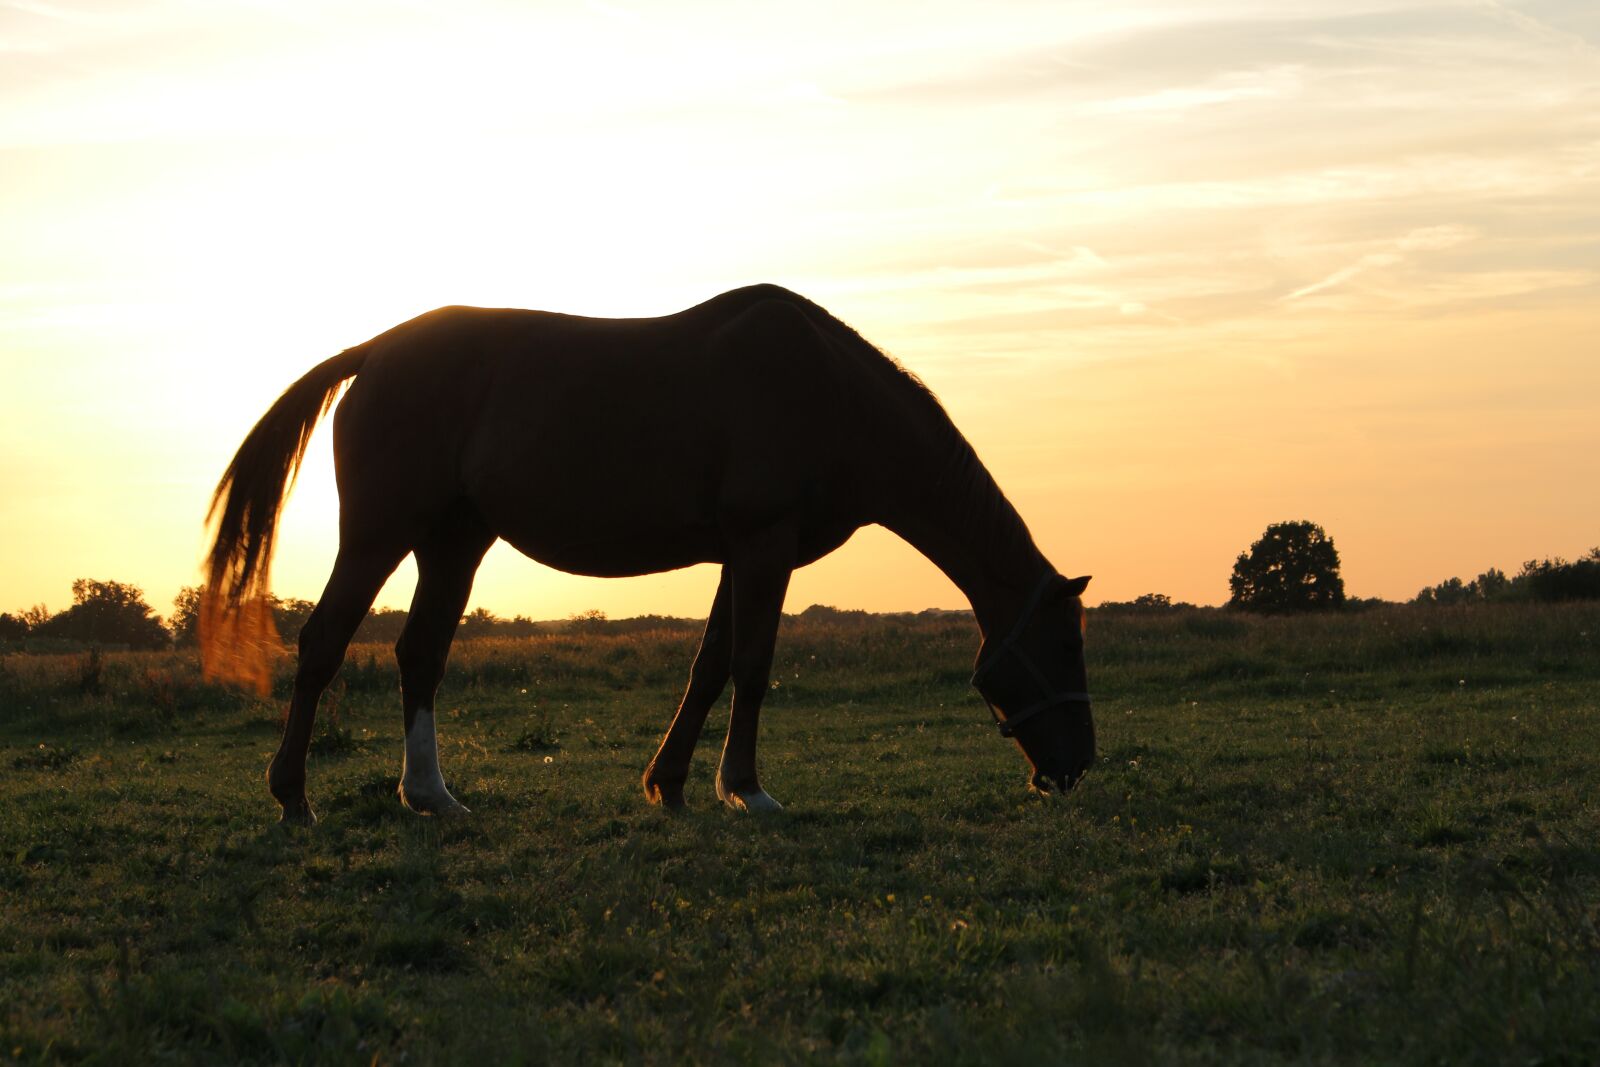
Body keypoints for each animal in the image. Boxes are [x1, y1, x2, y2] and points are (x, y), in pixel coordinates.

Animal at [201, 284, 1095, 824]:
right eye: (1067, 646)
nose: (1078, 766)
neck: (831, 393)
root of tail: (377, 349)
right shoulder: (764, 543)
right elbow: (754, 665)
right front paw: (747, 789)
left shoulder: (743, 553)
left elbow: (710, 664)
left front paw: (669, 783)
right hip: (381, 533)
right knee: (324, 645)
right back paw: (293, 796)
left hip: (454, 542)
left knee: (420, 654)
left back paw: (430, 794)